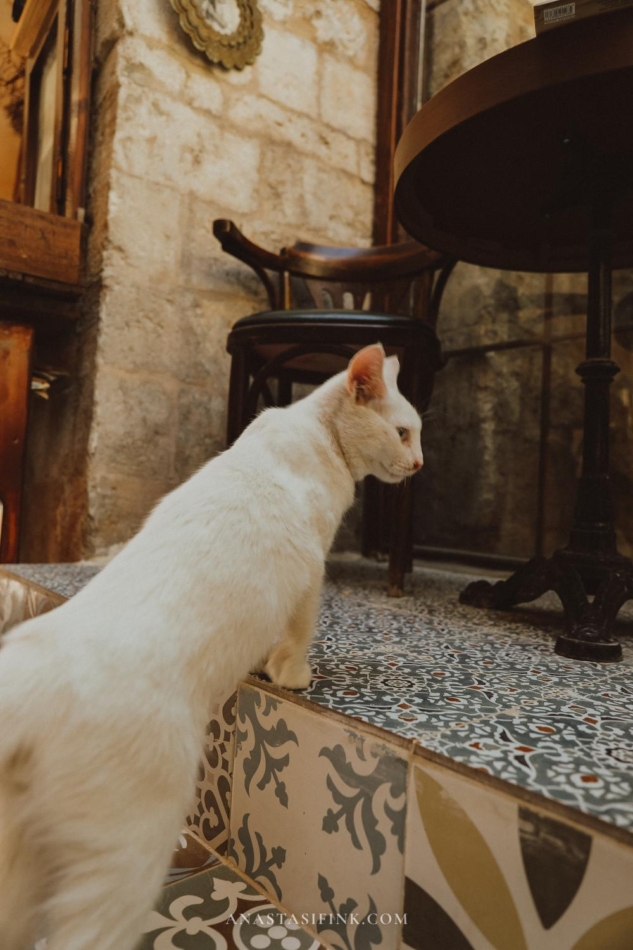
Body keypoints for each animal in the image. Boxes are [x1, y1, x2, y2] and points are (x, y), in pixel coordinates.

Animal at [1, 346, 424, 950]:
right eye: (403, 432)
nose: (420, 465)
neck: (315, 433)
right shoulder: (310, 569)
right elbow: (299, 631)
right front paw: (291, 672)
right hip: (127, 854)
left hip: (21, 866)